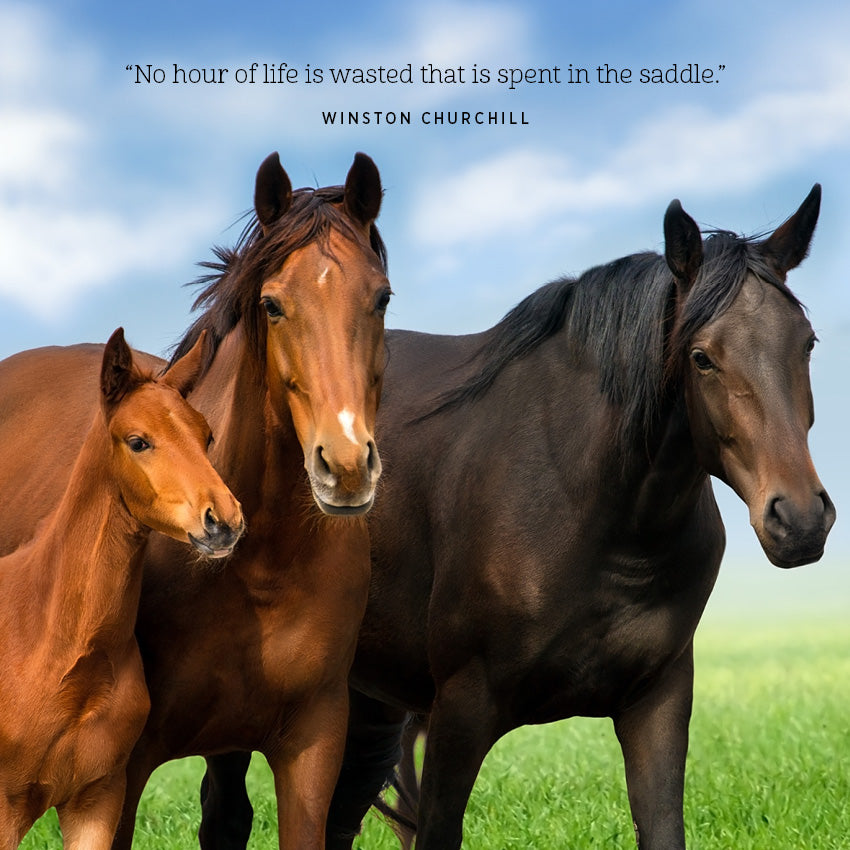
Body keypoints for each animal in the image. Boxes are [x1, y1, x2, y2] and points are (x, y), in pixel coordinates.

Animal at [198, 186, 834, 850]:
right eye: (702, 357)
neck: (599, 515)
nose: (800, 518)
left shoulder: (657, 703)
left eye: (808, 343)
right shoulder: (460, 712)